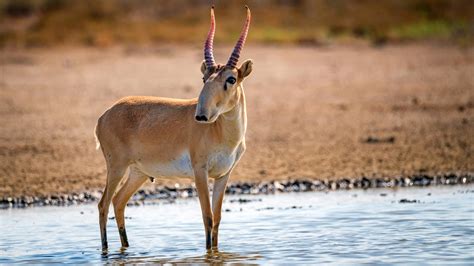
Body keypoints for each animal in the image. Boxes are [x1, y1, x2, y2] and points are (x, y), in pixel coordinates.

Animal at [94, 6, 254, 251]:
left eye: (231, 79)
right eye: (204, 77)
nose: (201, 115)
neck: (222, 134)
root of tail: (104, 116)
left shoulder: (223, 175)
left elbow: (217, 219)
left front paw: (215, 252)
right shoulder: (200, 172)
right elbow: (207, 217)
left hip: (138, 172)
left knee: (118, 201)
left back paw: (126, 247)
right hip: (117, 167)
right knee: (103, 204)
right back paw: (106, 251)